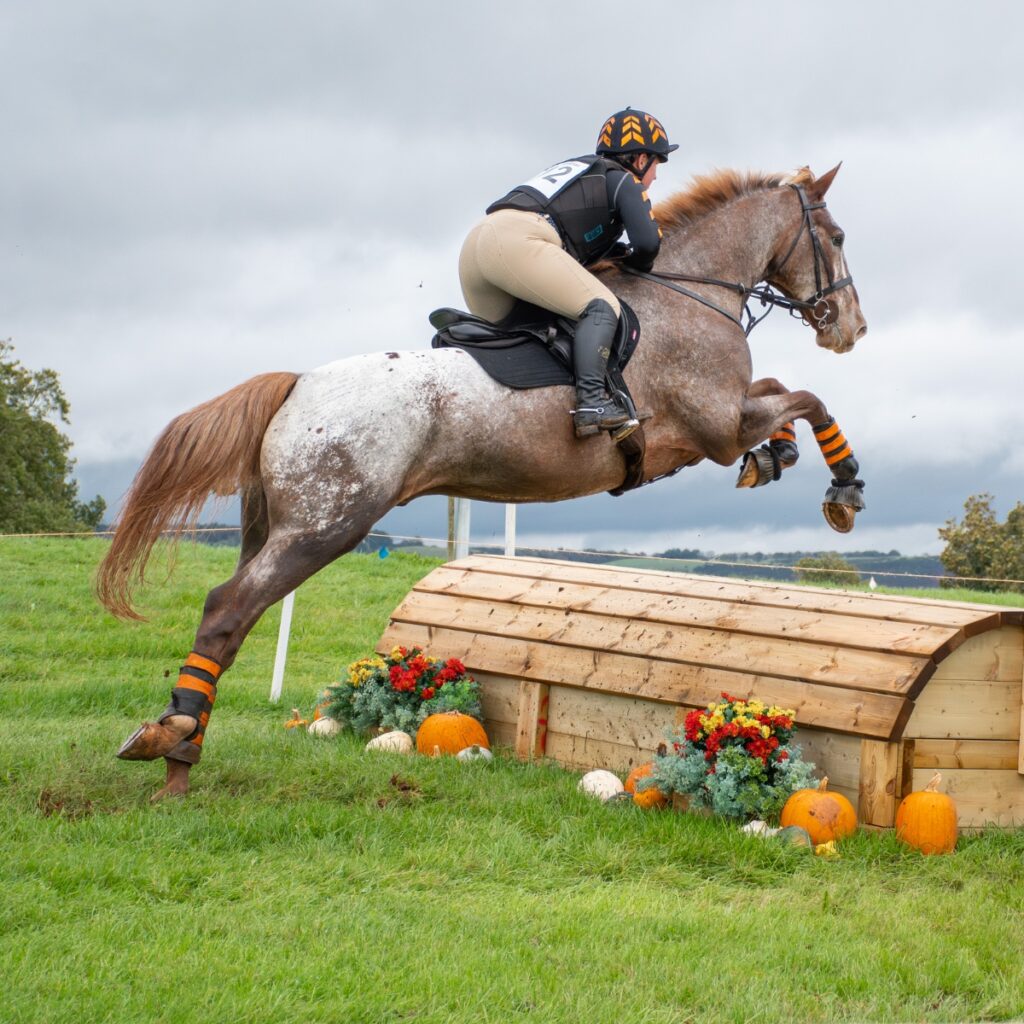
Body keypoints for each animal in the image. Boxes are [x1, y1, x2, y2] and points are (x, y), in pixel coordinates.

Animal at [98, 163, 867, 800]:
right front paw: (844, 488)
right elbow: (806, 397)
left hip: (272, 526)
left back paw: (177, 749)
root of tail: (297, 385)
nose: (851, 330)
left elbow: (782, 394)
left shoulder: (718, 421)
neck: (692, 292)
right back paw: (174, 748)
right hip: (325, 526)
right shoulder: (712, 426)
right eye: (835, 236)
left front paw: (774, 457)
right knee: (229, 609)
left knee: (229, 617)